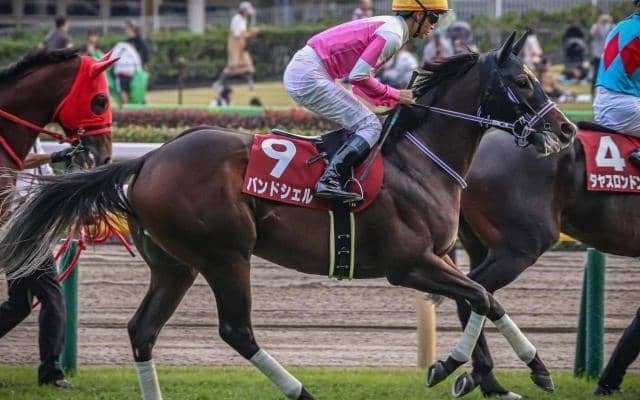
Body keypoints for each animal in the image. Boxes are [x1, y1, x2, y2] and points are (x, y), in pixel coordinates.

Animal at [0, 33, 575, 400]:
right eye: (524, 82)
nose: (567, 130)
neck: (419, 160)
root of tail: (147, 159)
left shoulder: (440, 257)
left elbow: (485, 299)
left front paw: (513, 369)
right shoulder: (409, 263)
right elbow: (482, 296)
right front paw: (470, 367)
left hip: (174, 264)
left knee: (143, 331)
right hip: (225, 254)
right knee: (237, 330)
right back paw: (301, 391)